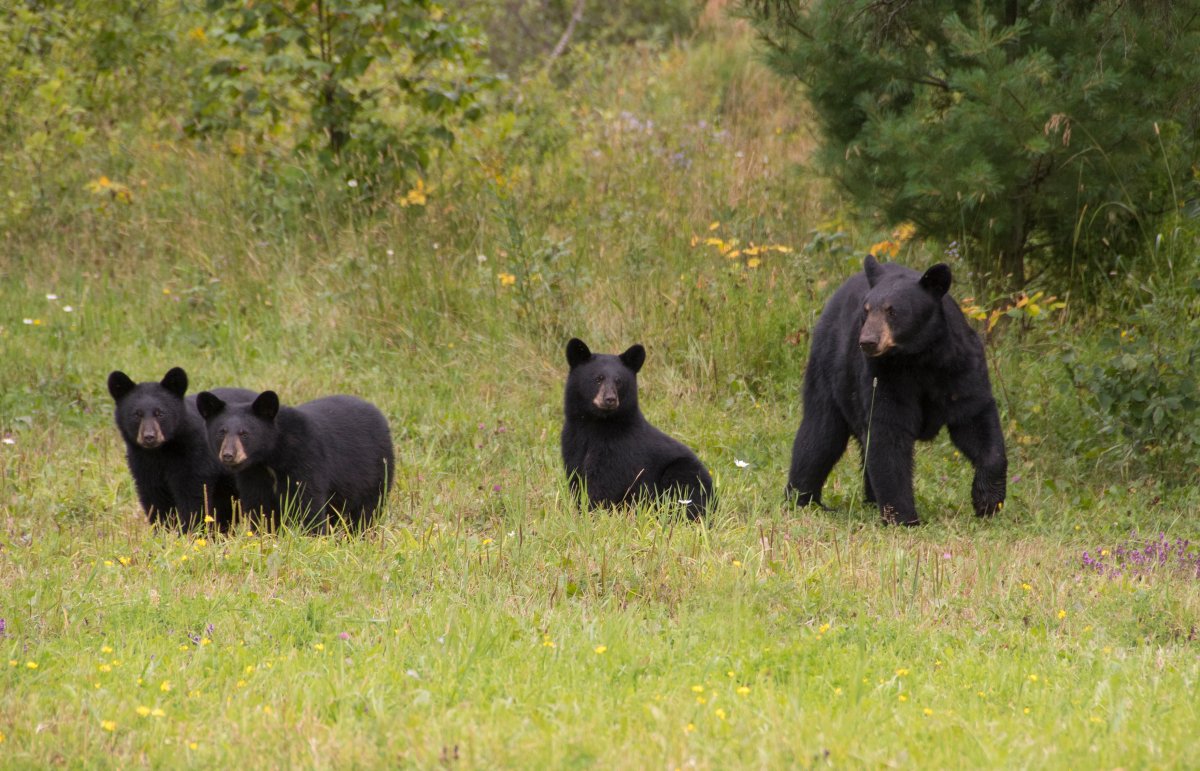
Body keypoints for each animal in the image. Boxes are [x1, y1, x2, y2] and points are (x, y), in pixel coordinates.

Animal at [109, 365, 256, 528]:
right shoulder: (142, 464)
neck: (160, 452)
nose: (149, 437)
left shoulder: (194, 456)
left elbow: (192, 497)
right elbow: (154, 499)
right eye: (137, 414)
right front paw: (162, 529)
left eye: (160, 413)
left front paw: (190, 529)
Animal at [194, 386, 396, 530]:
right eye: (221, 432)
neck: (270, 457)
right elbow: (260, 507)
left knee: (367, 510)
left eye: (244, 433)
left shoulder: (306, 460)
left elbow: (307, 505)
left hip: (375, 471)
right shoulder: (253, 474)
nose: (228, 455)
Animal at [561, 338, 710, 518]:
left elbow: (604, 484)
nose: (610, 399)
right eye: (598, 378)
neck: (596, 424)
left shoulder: (620, 448)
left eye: (618, 381)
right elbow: (576, 478)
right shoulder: (573, 440)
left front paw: (592, 513)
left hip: (685, 472)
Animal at [782, 254, 1008, 526]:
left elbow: (975, 420)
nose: (868, 341)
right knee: (819, 436)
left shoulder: (960, 366)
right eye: (866, 310)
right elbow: (888, 433)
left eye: (893, 311)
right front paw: (903, 518)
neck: (919, 357)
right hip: (828, 370)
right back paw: (801, 500)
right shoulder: (886, 376)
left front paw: (987, 501)